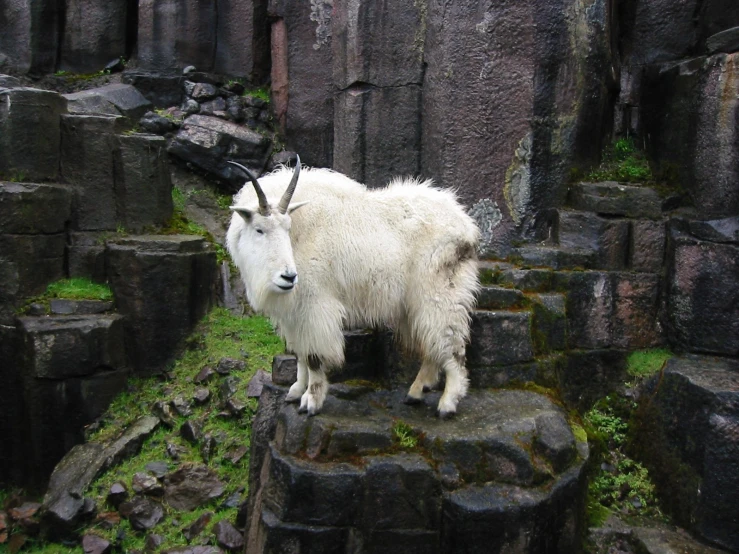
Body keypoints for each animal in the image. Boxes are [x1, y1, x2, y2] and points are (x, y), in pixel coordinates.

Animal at [225, 155, 480, 414]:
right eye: (259, 229)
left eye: (287, 227)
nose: (288, 277)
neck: (300, 235)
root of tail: (467, 226)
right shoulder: (295, 312)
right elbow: (300, 353)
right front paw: (296, 390)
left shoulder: (316, 305)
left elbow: (314, 356)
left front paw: (311, 401)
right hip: (413, 305)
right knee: (431, 342)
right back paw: (417, 391)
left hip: (440, 292)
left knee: (451, 344)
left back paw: (448, 402)